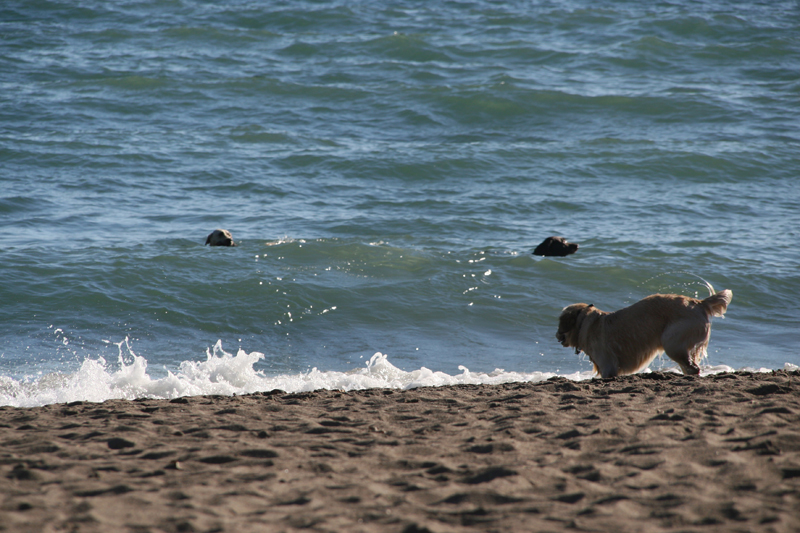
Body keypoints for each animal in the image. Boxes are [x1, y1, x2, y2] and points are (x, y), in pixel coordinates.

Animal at [556, 288, 732, 376]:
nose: (556, 335)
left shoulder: (608, 367)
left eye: (560, 322)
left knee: (692, 368)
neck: (585, 322)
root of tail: (699, 303)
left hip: (672, 343)